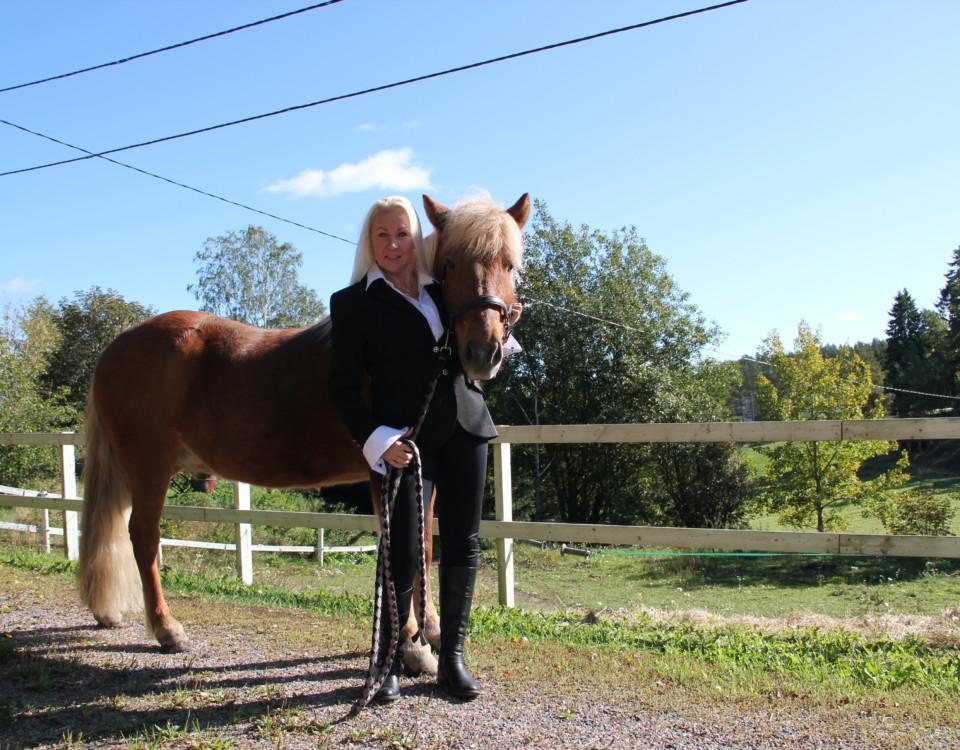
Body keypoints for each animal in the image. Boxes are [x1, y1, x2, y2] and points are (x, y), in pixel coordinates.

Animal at [76, 194, 528, 676]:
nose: (483, 351)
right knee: (143, 538)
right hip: (148, 466)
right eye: (450, 263)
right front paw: (411, 646)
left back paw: (109, 613)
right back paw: (167, 630)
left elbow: (423, 547)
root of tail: (115, 346)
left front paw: (432, 631)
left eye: (510, 264)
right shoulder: (388, 466)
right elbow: (400, 549)